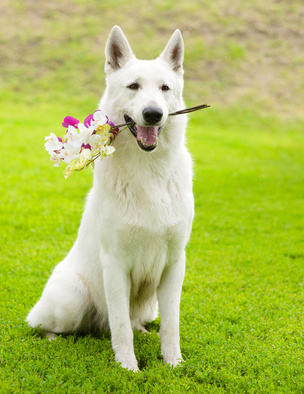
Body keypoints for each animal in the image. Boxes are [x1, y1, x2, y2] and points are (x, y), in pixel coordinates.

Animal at [27, 26, 195, 370]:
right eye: (133, 86)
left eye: (164, 88)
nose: (153, 114)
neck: (149, 172)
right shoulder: (116, 265)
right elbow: (120, 327)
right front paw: (128, 368)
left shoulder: (174, 264)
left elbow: (171, 325)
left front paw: (173, 363)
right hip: (72, 300)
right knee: (45, 326)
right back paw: (54, 338)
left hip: (149, 305)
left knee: (136, 322)